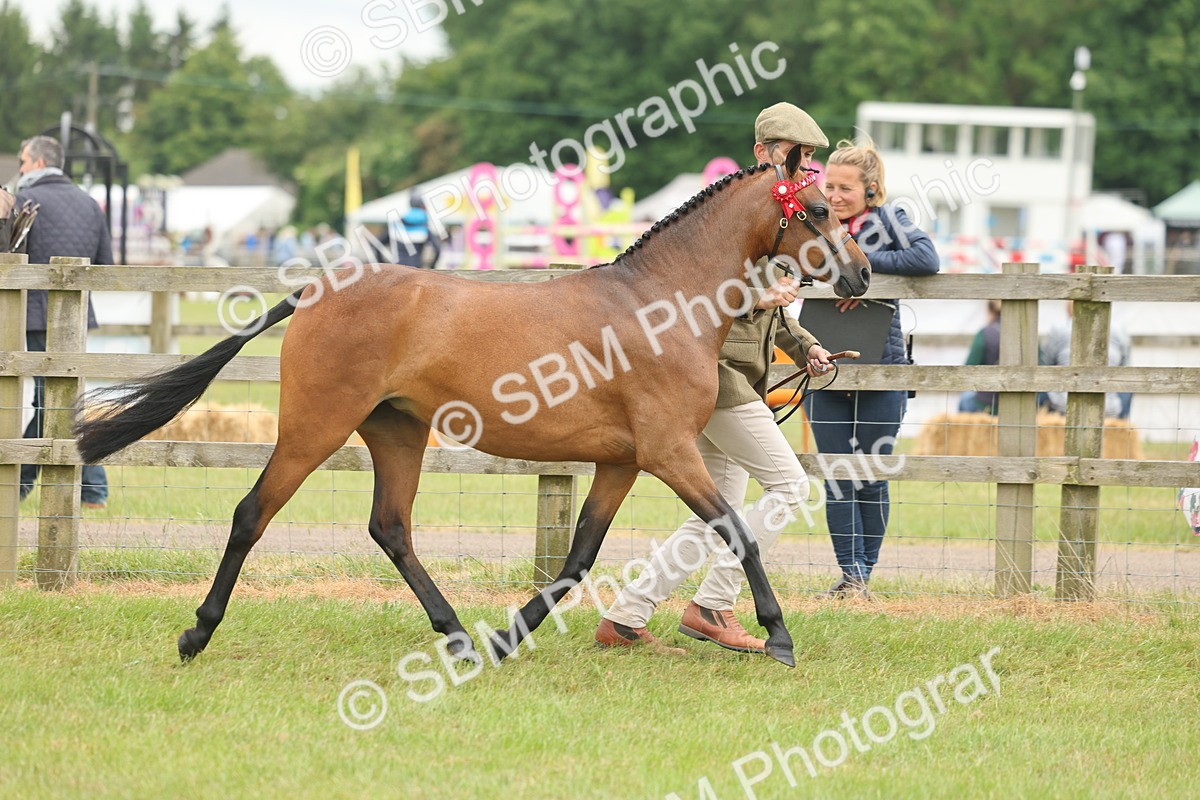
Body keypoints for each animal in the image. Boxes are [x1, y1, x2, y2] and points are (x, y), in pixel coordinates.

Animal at [75, 148, 871, 667]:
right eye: (819, 209)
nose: (863, 272)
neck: (660, 302)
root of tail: (318, 289)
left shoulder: (621, 462)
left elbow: (576, 559)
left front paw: (505, 640)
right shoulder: (670, 453)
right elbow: (738, 532)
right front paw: (778, 636)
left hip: (397, 432)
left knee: (391, 527)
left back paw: (457, 634)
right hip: (314, 427)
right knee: (252, 514)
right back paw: (196, 634)